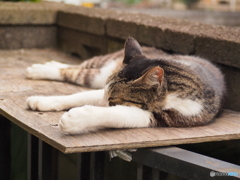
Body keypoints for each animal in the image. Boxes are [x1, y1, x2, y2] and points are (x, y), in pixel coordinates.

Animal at [26, 37, 225, 134]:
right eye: (108, 95)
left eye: (113, 98)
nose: (101, 103)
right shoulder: (103, 87)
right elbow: (79, 95)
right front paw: (43, 101)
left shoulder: (174, 116)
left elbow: (120, 114)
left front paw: (76, 119)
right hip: (99, 71)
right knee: (78, 70)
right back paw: (44, 68)